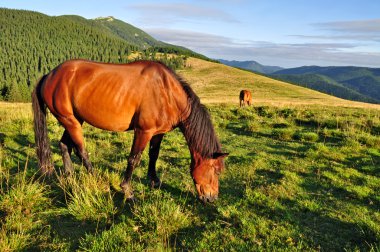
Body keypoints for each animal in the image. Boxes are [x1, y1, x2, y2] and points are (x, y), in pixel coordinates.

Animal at [31, 59, 227, 203]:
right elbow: (134, 159)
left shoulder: (158, 133)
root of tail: (50, 74)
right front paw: (127, 190)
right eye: (216, 171)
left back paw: (70, 175)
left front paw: (154, 180)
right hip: (69, 121)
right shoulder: (143, 131)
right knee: (81, 151)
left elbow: (154, 155)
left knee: (64, 145)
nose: (212, 198)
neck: (167, 92)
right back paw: (94, 177)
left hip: (74, 119)